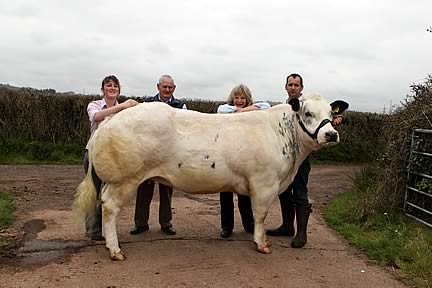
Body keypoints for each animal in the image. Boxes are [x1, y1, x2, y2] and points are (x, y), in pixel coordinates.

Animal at [74, 92, 348, 260]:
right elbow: (260, 215)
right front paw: (261, 244)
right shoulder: (264, 183)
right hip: (124, 180)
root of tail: (111, 119)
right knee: (109, 207)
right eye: (307, 113)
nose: (331, 134)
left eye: (331, 113)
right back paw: (115, 250)